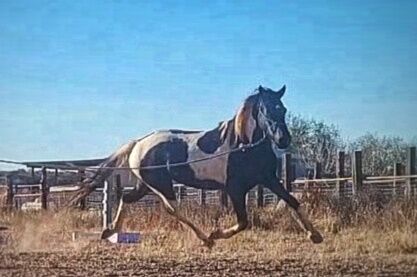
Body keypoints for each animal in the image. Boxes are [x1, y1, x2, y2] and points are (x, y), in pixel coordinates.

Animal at [69, 84, 322, 246]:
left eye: (283, 109)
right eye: (264, 109)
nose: (283, 140)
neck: (243, 145)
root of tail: (138, 143)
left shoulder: (268, 179)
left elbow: (292, 201)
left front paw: (315, 235)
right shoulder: (235, 189)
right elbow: (243, 222)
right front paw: (216, 234)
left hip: (146, 184)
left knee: (128, 198)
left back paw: (111, 229)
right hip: (161, 185)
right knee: (173, 208)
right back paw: (206, 239)